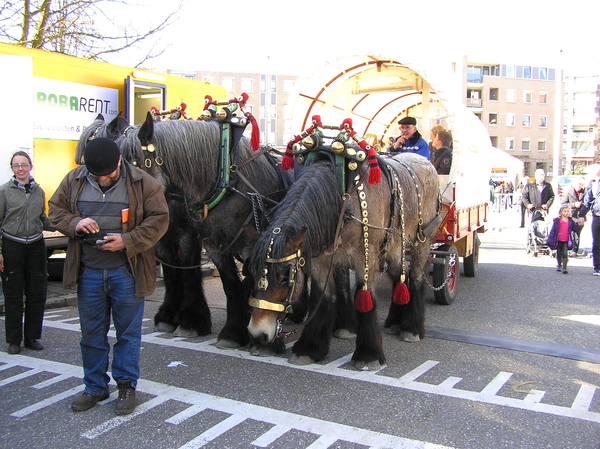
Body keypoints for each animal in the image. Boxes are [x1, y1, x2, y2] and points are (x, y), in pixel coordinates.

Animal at [245, 131, 440, 370]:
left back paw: (412, 328)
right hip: (395, 246)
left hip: (423, 240)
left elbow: (366, 298)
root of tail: (426, 162)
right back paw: (395, 322)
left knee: (416, 276)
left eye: (284, 278)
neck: (343, 198)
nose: (258, 333)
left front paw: (368, 354)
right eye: (251, 273)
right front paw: (309, 349)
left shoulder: (365, 257)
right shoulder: (321, 260)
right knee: (398, 276)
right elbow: (321, 298)